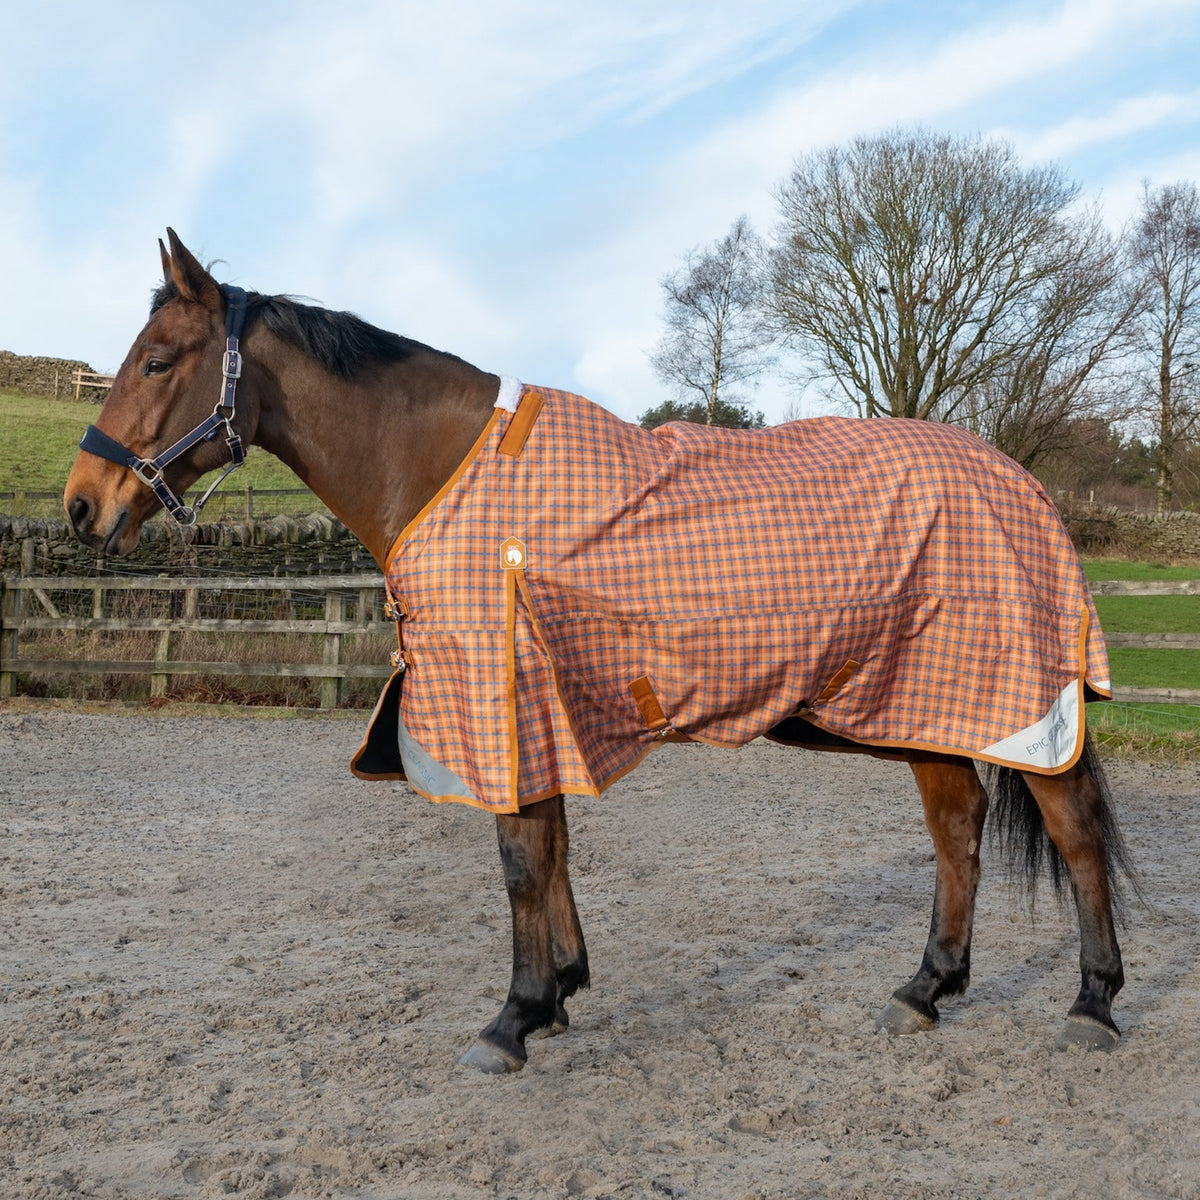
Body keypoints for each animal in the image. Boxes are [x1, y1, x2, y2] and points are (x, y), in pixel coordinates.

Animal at [64, 230, 1132, 1074]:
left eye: (158, 360)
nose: (81, 505)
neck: (447, 476)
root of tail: (1017, 479)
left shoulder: (500, 697)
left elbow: (520, 858)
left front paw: (513, 1017)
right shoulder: (538, 708)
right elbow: (552, 847)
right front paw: (561, 990)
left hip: (1015, 701)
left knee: (1074, 832)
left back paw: (1092, 1002)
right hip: (924, 707)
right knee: (957, 832)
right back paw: (924, 989)